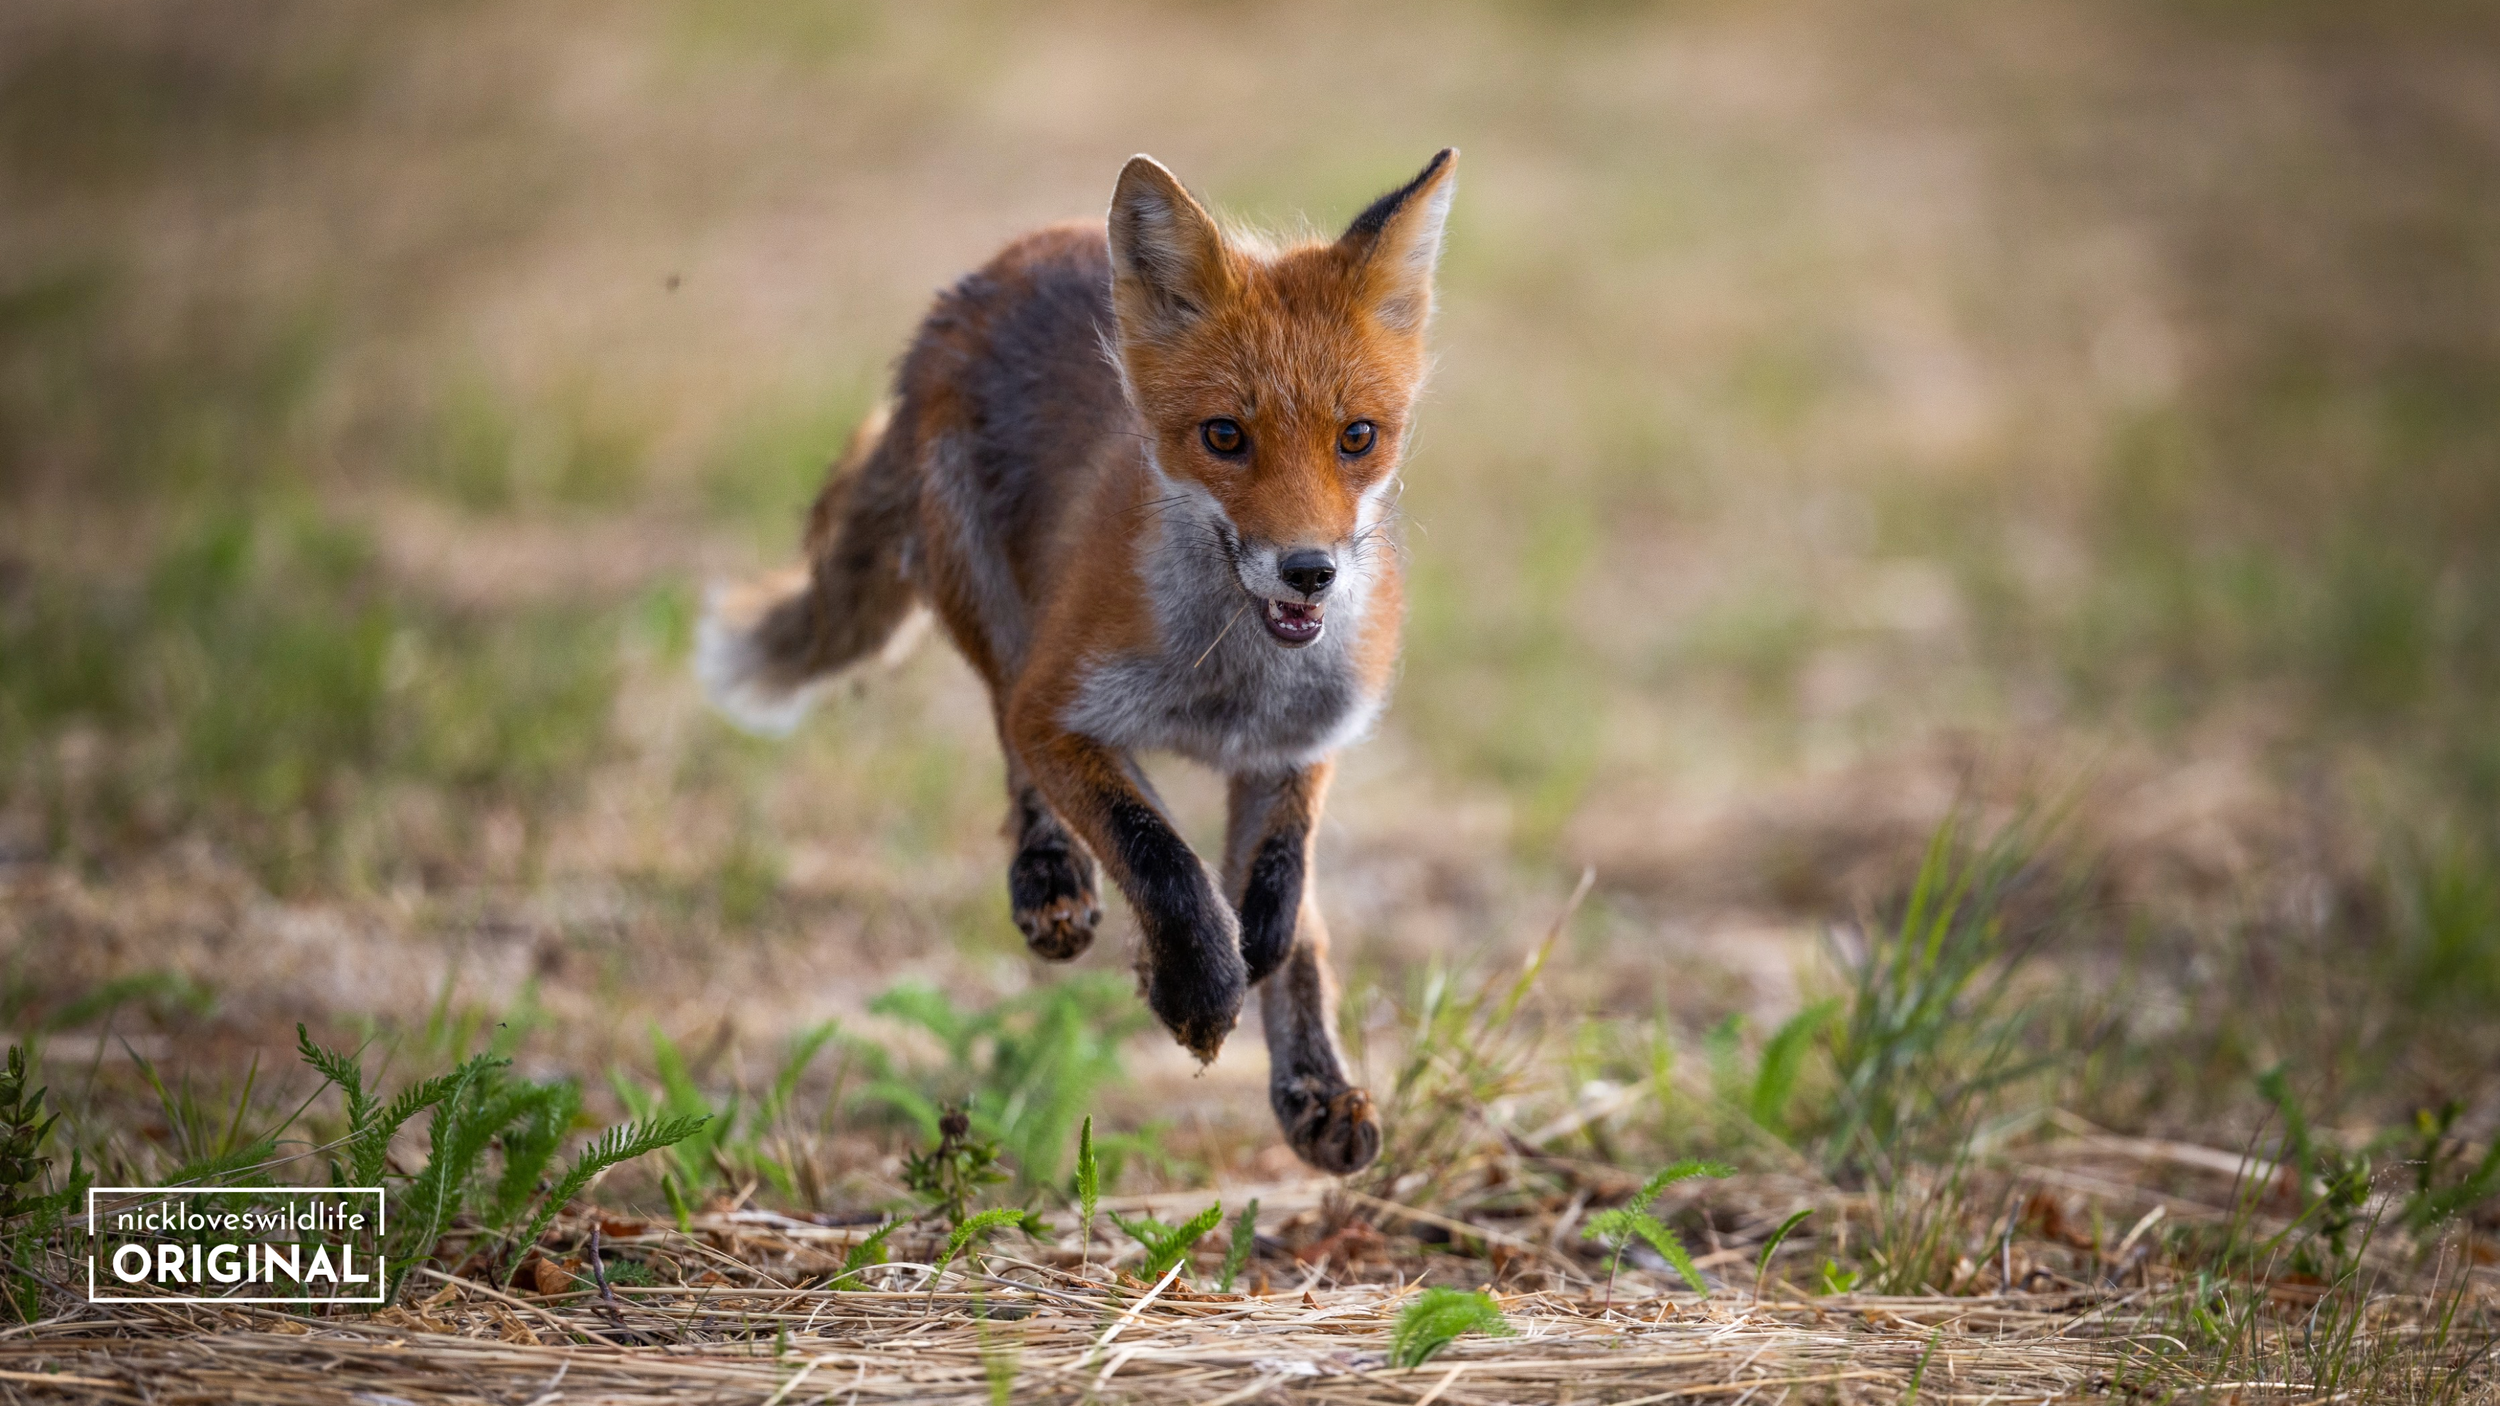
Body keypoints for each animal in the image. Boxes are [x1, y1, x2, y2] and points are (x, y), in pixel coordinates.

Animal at [697, 149, 1457, 1175]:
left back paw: (1316, 1085)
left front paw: (1264, 993)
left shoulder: (1302, 740)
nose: (1310, 571)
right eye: (1225, 436)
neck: (1229, 689)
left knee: (1295, 917)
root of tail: (1007, 258)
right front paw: (1195, 988)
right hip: (989, 601)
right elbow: (1156, 854)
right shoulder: (1059, 707)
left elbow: (1281, 887)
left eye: (1358, 436)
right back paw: (1053, 879)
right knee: (1028, 756)